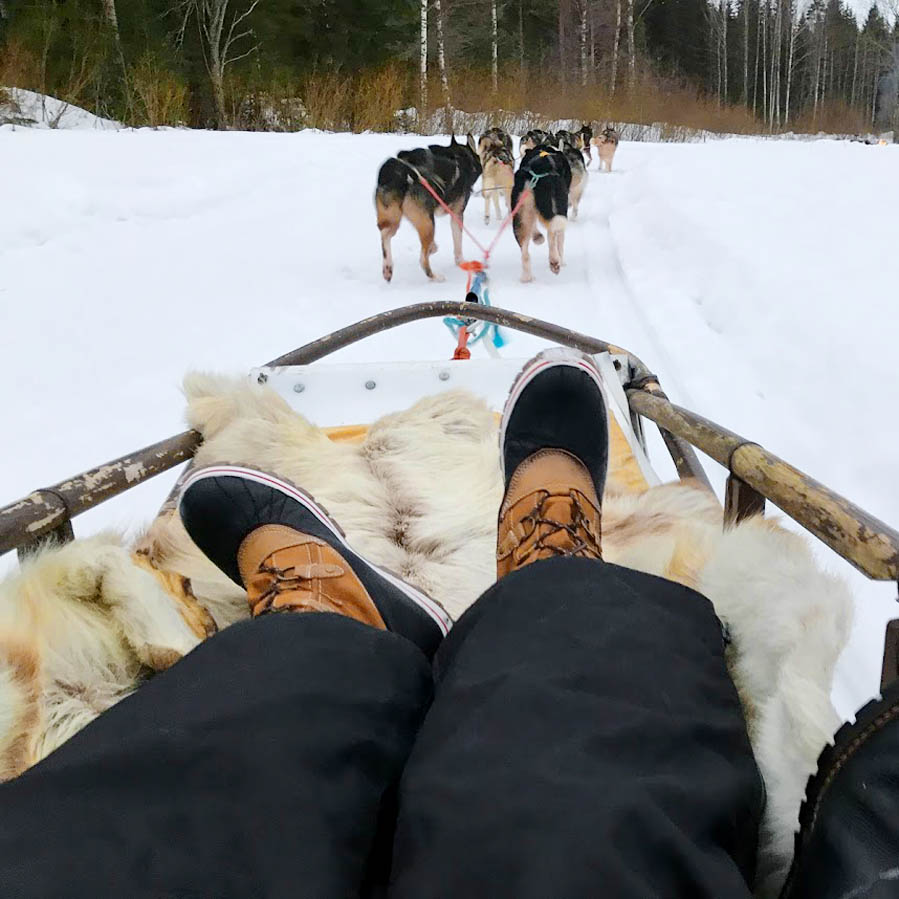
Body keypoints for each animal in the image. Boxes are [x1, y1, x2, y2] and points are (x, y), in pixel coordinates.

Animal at [374, 133, 482, 282]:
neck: (458, 158)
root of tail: (404, 172)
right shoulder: (457, 214)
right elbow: (458, 243)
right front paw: (460, 261)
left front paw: (434, 247)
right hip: (428, 223)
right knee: (422, 259)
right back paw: (435, 276)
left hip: (394, 218)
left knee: (385, 235)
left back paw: (388, 268)